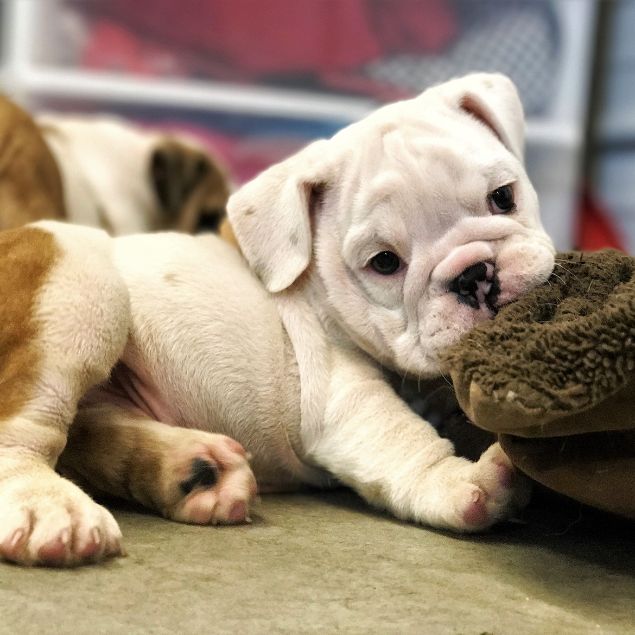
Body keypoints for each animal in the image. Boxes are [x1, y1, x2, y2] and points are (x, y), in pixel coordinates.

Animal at [0, 73, 556, 568]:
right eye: (384, 263)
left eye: (503, 196)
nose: (474, 275)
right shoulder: (339, 391)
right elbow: (400, 435)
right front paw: (464, 484)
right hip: (82, 289)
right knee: (26, 431)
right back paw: (48, 508)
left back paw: (194, 470)